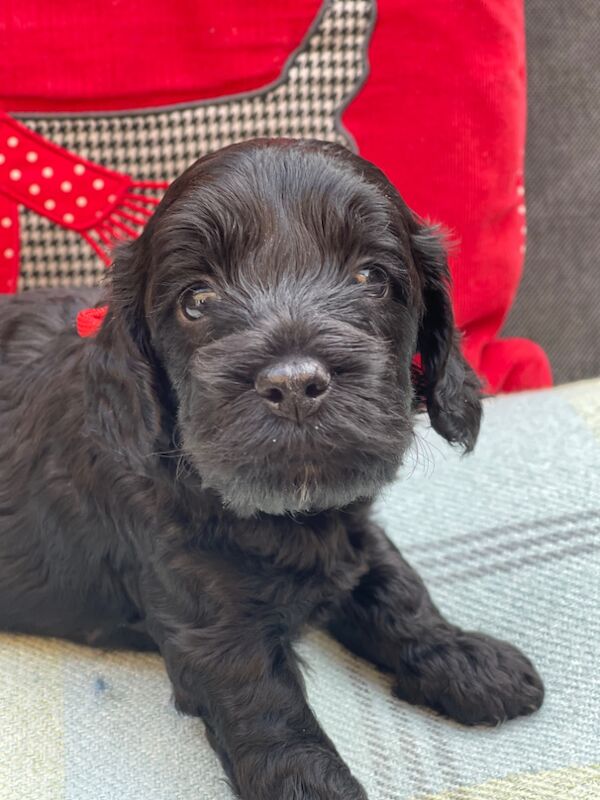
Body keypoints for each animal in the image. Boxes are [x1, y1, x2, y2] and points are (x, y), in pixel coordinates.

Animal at [0, 141, 544, 796]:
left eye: (371, 277)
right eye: (196, 299)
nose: (294, 385)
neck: (287, 512)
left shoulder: (352, 529)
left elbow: (396, 585)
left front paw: (463, 658)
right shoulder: (212, 627)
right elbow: (272, 719)